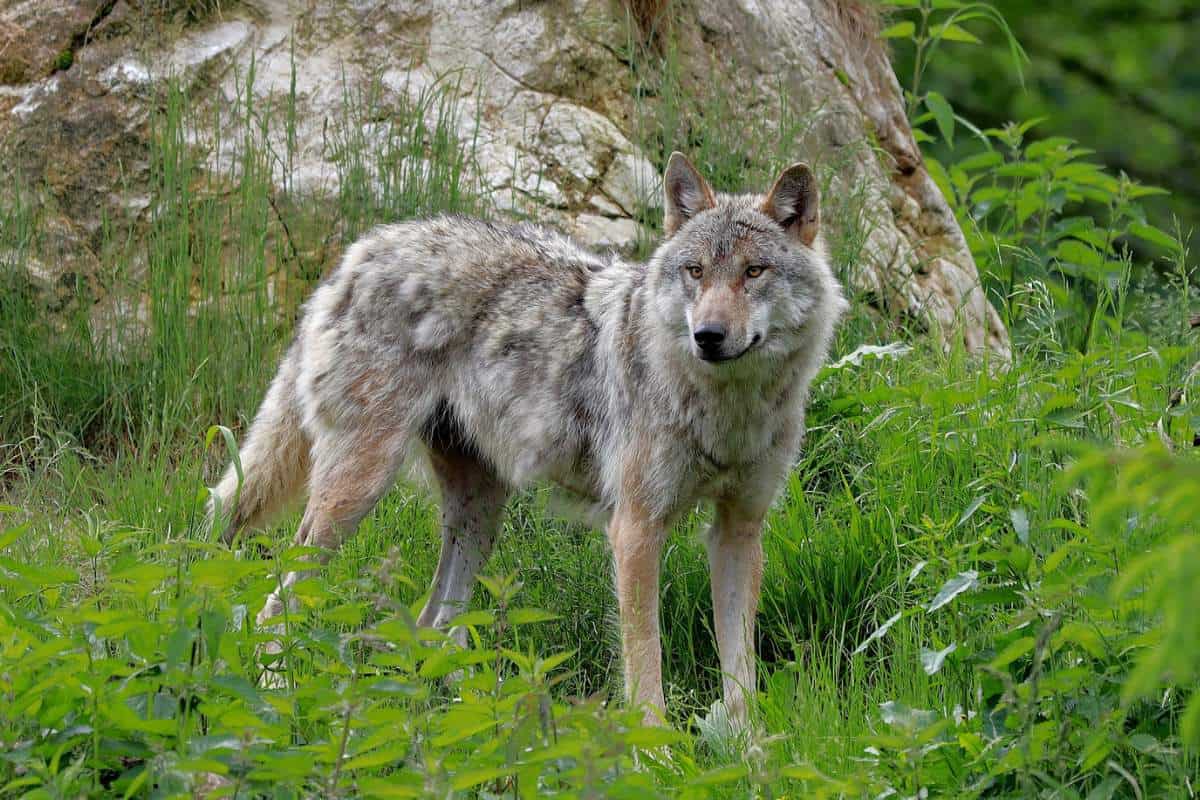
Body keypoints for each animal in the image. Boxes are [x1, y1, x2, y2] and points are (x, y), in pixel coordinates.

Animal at [208, 153, 844, 729]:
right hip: (355, 494)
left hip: (479, 515)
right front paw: (657, 753)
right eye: (694, 272)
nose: (707, 335)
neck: (726, 408)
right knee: (271, 611)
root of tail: (362, 250)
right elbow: (646, 665)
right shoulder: (636, 529)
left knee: (431, 627)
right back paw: (276, 702)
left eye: (753, 272)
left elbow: (741, 672)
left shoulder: (739, 530)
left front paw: (748, 752)